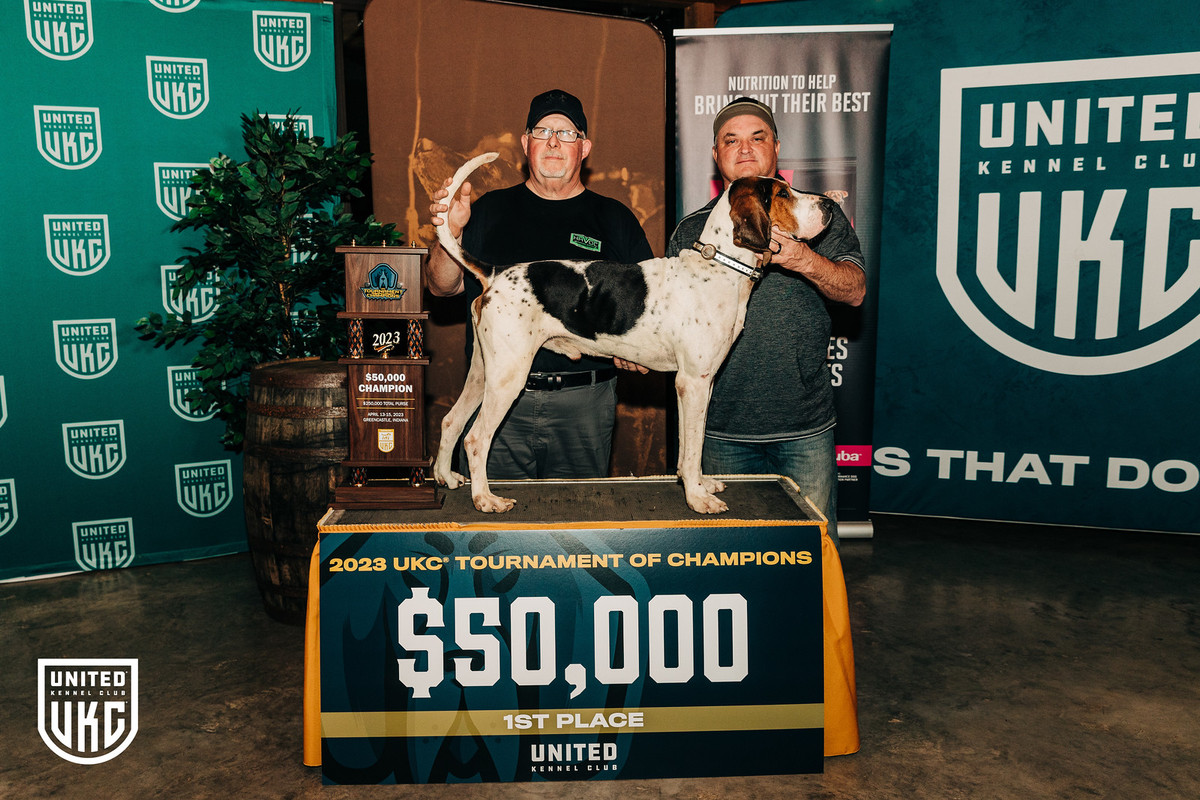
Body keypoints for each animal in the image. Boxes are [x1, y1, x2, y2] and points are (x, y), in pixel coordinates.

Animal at [432, 152, 833, 514]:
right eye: (782, 192)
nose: (830, 203)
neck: (720, 266)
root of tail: (496, 272)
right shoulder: (693, 382)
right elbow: (691, 449)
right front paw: (698, 499)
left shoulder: (700, 384)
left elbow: (693, 446)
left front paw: (698, 484)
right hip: (508, 378)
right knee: (476, 438)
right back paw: (485, 499)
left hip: (484, 372)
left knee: (452, 420)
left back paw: (446, 478)